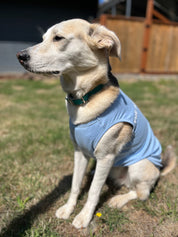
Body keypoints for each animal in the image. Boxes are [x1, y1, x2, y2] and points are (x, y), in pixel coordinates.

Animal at [16, 17, 175, 229]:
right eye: (43, 38)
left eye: (58, 38)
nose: (20, 56)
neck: (85, 98)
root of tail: (160, 169)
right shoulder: (79, 152)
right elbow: (75, 185)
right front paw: (68, 208)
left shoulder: (106, 157)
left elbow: (93, 191)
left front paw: (84, 216)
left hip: (138, 166)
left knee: (141, 193)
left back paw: (118, 200)